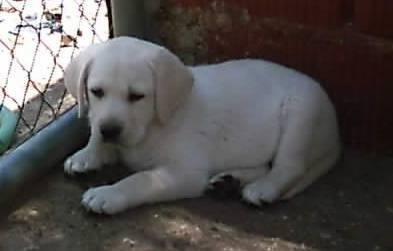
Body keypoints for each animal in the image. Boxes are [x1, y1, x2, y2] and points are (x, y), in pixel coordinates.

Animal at [62, 36, 338, 215]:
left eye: (137, 96)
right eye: (96, 92)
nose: (110, 130)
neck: (154, 125)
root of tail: (336, 135)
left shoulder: (184, 172)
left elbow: (140, 179)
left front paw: (108, 194)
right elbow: (97, 137)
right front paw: (86, 155)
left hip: (300, 113)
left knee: (289, 167)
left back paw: (262, 188)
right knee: (265, 164)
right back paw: (229, 181)